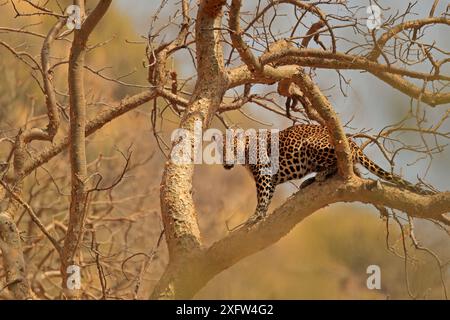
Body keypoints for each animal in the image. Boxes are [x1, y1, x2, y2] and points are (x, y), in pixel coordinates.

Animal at [221, 123, 432, 222]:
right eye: (220, 150)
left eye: (231, 147)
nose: (224, 163)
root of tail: (353, 143)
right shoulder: (270, 179)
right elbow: (268, 194)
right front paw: (260, 215)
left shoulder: (263, 175)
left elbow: (262, 196)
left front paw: (256, 216)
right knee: (354, 170)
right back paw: (310, 181)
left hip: (312, 144)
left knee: (340, 165)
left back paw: (320, 176)